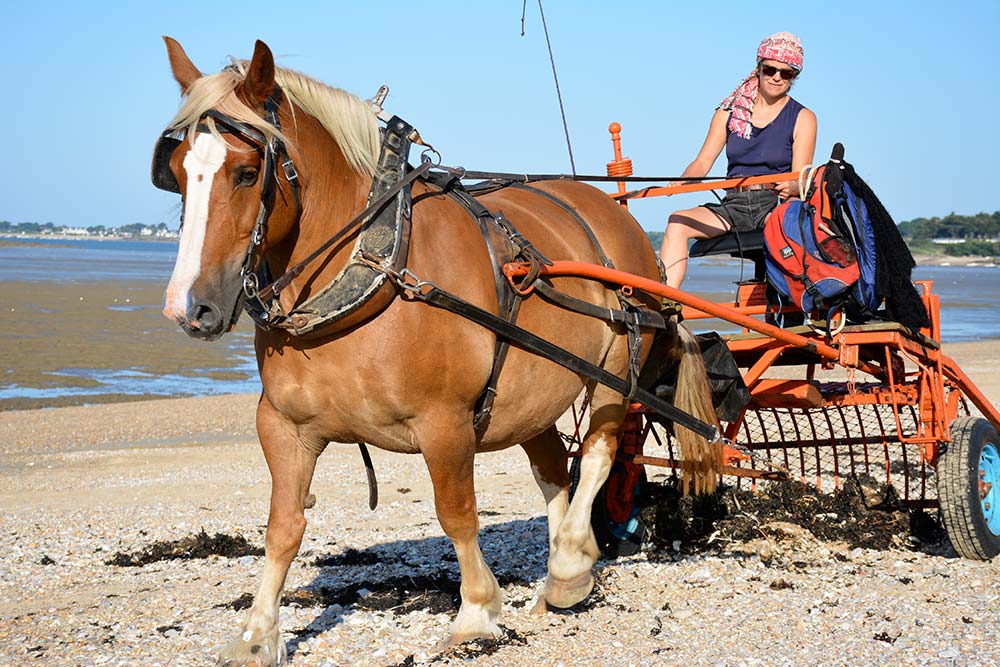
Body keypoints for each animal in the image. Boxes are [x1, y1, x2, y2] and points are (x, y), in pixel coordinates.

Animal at [154, 37, 721, 666]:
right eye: (175, 173)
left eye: (248, 172)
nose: (188, 307)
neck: (374, 264)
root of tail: (612, 210)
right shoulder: (282, 425)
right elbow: (283, 526)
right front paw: (258, 633)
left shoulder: (444, 423)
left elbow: (457, 514)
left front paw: (475, 613)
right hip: (533, 389)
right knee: (553, 468)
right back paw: (560, 570)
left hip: (616, 365)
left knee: (598, 452)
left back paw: (572, 560)